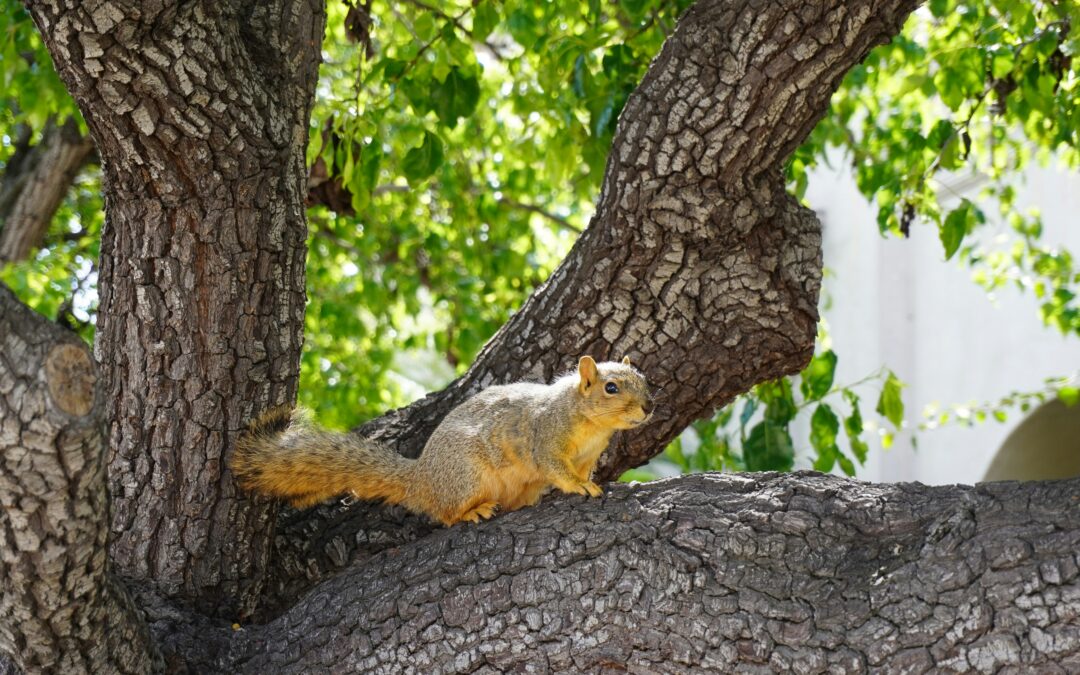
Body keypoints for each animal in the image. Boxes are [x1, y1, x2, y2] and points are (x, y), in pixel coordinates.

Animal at [230, 355, 654, 525]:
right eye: (611, 387)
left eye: (645, 379)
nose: (649, 407)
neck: (592, 427)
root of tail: (422, 480)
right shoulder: (545, 436)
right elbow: (554, 467)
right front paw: (580, 487)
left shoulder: (589, 455)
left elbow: (584, 470)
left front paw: (593, 482)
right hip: (466, 476)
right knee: (446, 514)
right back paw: (471, 512)